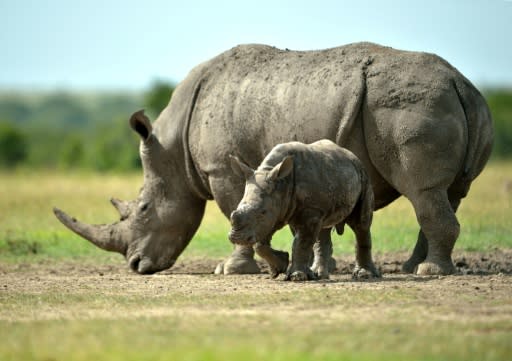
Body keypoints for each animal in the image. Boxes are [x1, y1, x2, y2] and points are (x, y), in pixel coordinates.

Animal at [228, 139, 380, 280]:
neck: (281, 183)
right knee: (323, 228)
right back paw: (319, 275)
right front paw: (279, 267)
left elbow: (301, 242)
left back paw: (365, 275)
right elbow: (260, 243)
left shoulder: (306, 210)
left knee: (361, 225)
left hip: (363, 176)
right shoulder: (275, 211)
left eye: (262, 212)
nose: (236, 237)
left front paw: (297, 276)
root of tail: (351, 155)